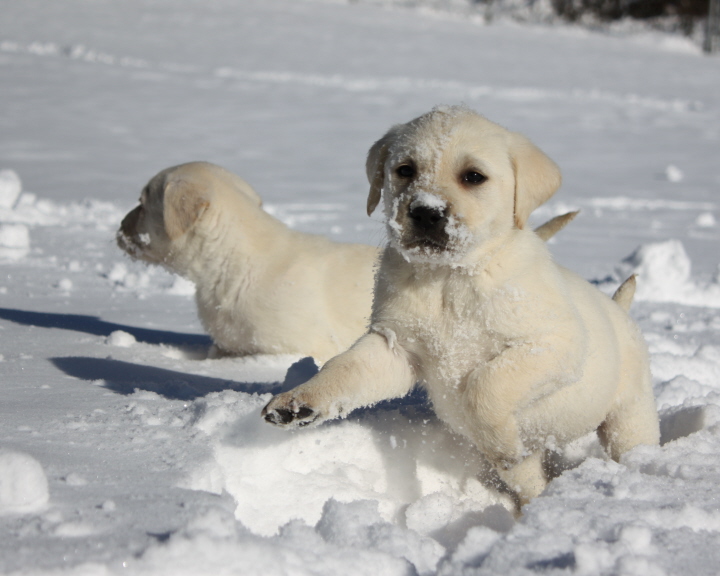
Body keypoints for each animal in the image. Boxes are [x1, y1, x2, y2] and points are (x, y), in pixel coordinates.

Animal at [262, 107, 660, 508]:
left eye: (473, 176)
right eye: (405, 170)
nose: (426, 212)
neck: (449, 278)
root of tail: (619, 310)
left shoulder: (553, 345)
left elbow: (485, 384)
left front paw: (500, 442)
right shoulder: (396, 347)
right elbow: (345, 368)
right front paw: (299, 401)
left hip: (630, 416)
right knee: (530, 482)